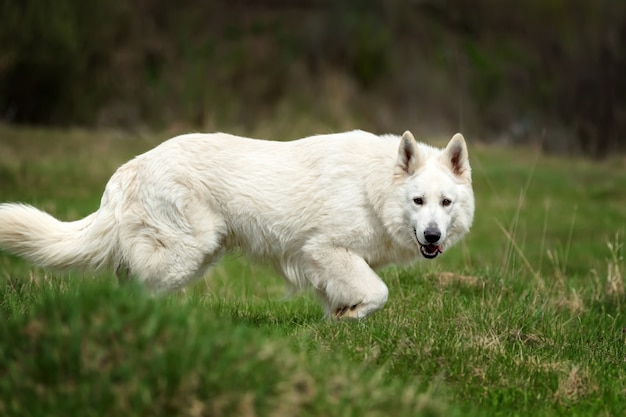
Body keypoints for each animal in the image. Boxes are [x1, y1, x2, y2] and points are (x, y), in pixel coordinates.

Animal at [0, 130, 472, 318]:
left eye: (445, 203)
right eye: (418, 201)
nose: (432, 236)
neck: (373, 189)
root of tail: (129, 169)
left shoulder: (324, 264)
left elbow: (347, 297)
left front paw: (339, 320)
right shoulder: (324, 249)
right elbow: (379, 292)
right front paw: (350, 315)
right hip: (186, 254)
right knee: (136, 289)